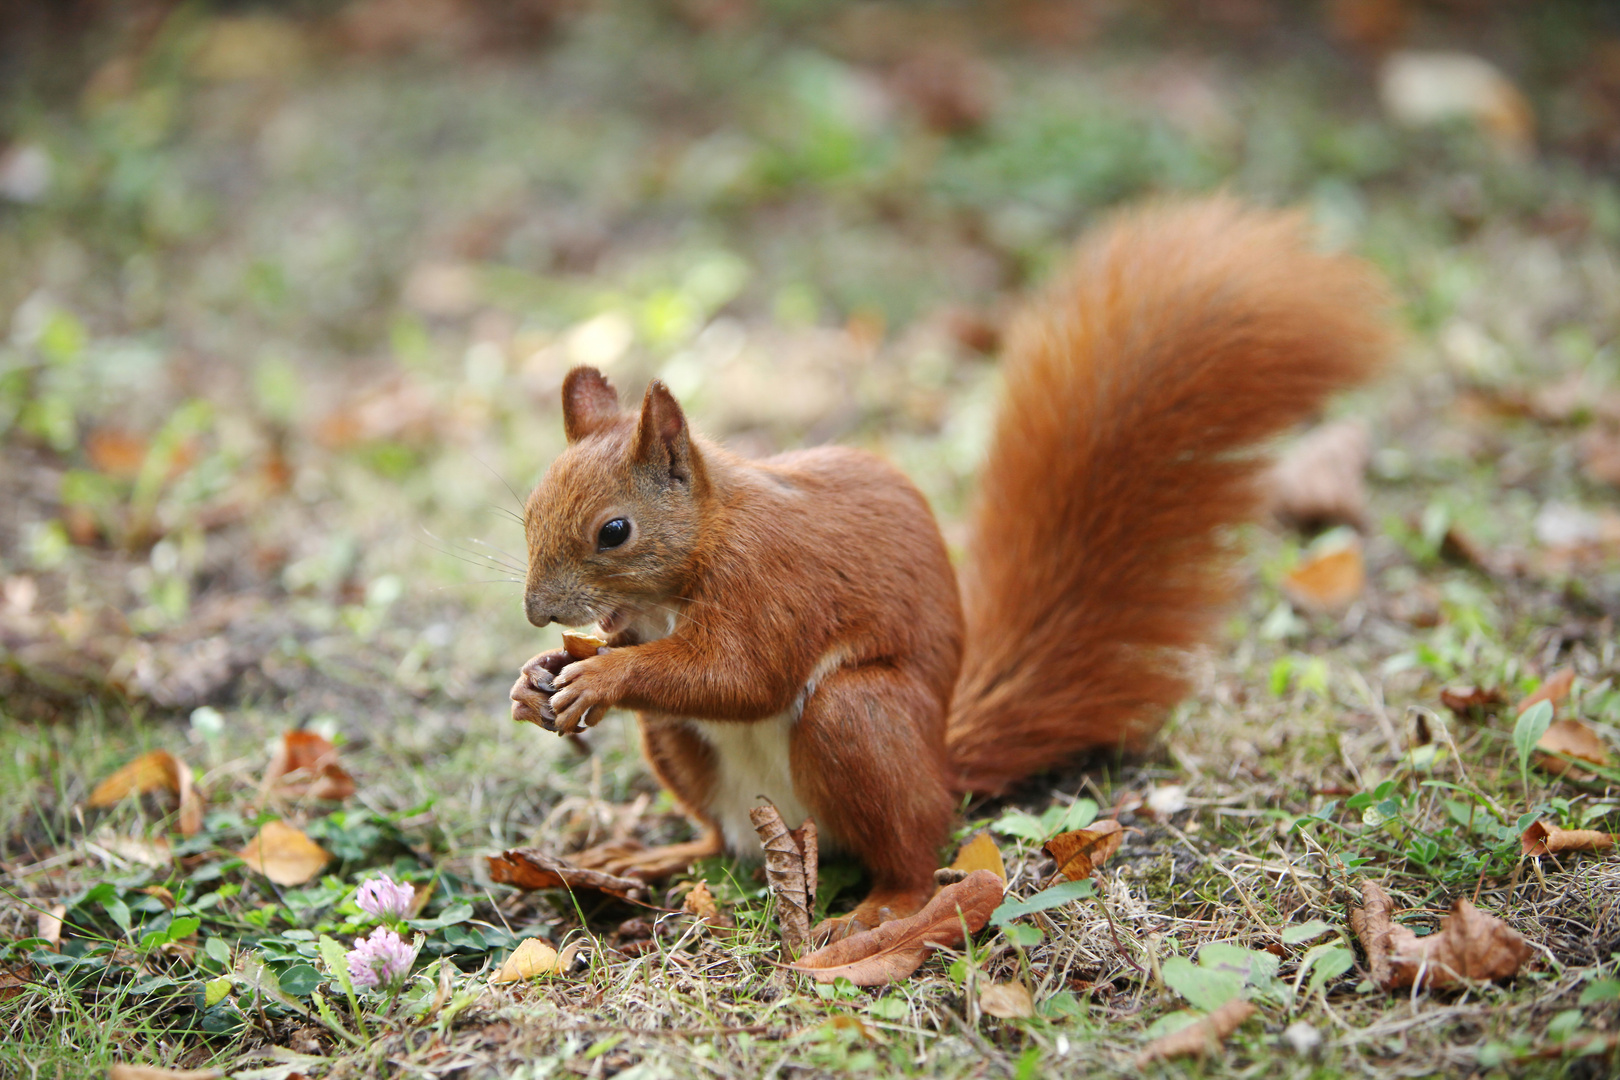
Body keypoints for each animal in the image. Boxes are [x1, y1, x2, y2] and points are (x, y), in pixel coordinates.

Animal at [508, 200, 1393, 939]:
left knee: (905, 845)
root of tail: (941, 765)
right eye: (530, 510)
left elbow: (742, 675)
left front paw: (604, 676)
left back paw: (881, 909)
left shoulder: (774, 584)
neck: (699, 549)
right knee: (720, 839)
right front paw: (538, 676)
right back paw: (652, 858)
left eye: (614, 532)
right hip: (680, 749)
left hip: (861, 722)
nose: (536, 609)